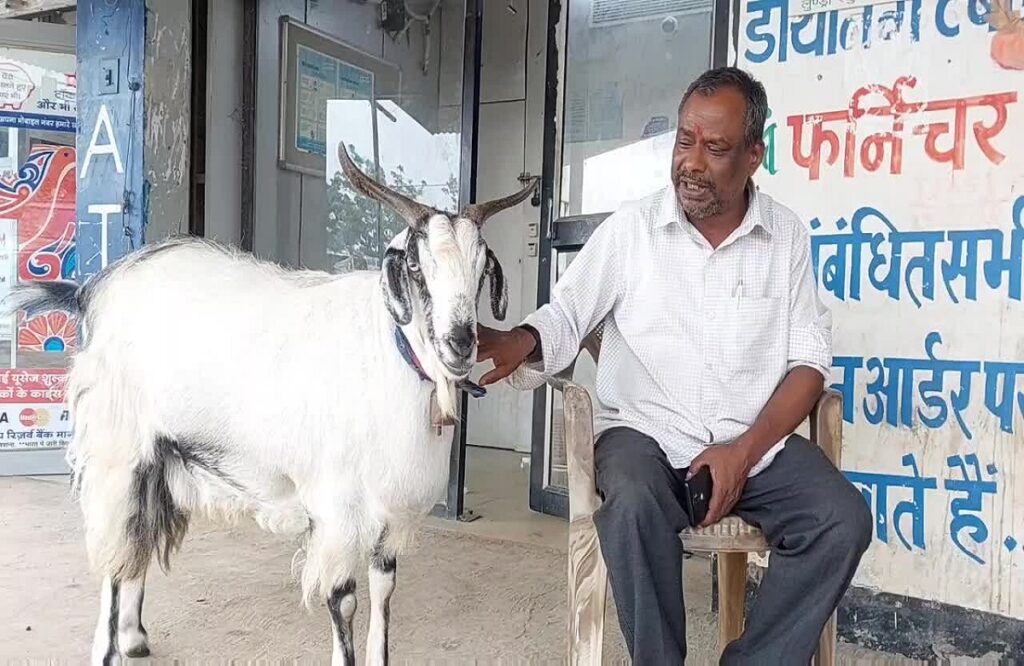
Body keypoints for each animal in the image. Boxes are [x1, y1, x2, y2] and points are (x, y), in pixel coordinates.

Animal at [8, 143, 536, 663]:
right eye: (414, 266)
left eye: (481, 267)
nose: (461, 343)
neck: (391, 351)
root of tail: (91, 290)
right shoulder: (336, 508)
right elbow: (344, 601)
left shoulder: (390, 515)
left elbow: (384, 595)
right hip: (116, 449)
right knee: (115, 551)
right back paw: (108, 646)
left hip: (160, 457)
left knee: (138, 541)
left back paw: (135, 637)